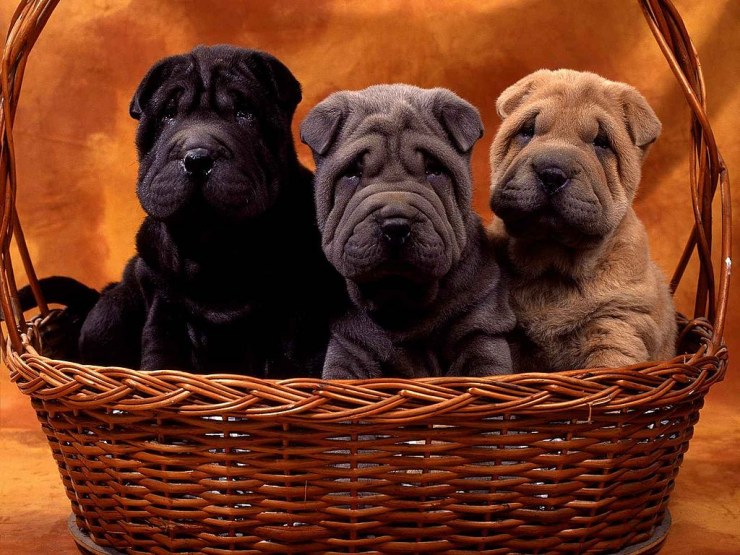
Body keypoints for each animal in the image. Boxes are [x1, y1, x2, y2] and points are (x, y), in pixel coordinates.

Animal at [24, 46, 344, 378]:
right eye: (168, 115)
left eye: (245, 113)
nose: (198, 157)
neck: (212, 247)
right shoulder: (164, 309)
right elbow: (161, 356)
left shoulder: (294, 312)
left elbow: (291, 357)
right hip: (111, 312)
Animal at [300, 84, 516, 380]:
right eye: (352, 173)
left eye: (434, 170)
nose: (395, 225)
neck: (400, 297)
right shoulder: (349, 347)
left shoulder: (480, 329)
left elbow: (485, 370)